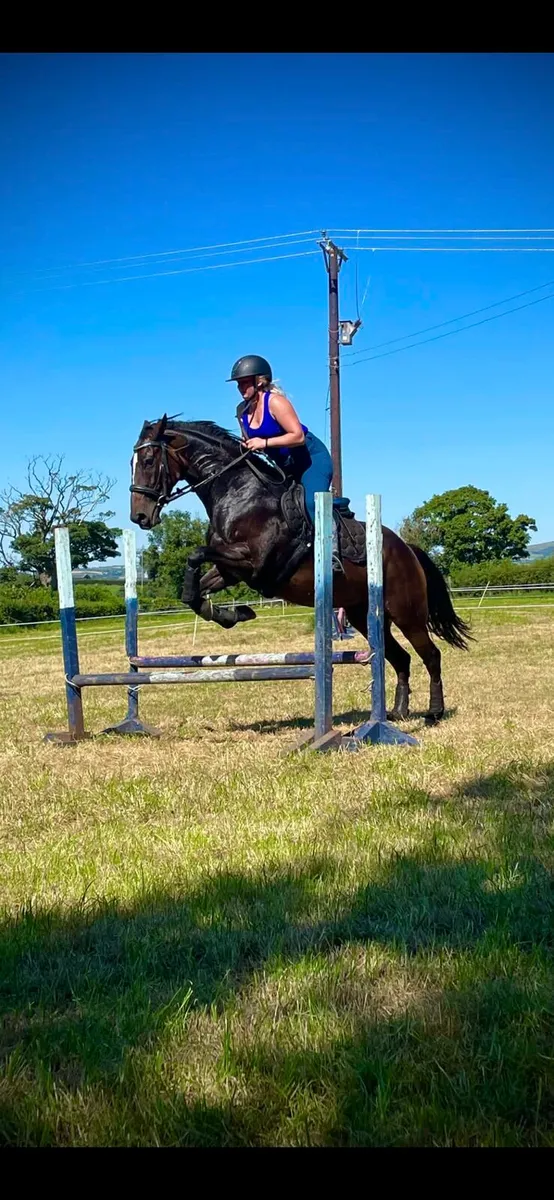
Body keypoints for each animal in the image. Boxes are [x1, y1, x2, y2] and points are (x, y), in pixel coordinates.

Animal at [130, 415, 472, 723]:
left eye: (147, 460)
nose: (139, 517)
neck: (238, 493)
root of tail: (407, 549)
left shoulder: (252, 562)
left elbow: (195, 554)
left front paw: (234, 612)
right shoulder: (231, 570)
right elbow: (195, 590)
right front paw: (232, 614)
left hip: (406, 612)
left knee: (430, 654)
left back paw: (434, 712)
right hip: (363, 615)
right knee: (400, 658)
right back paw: (397, 712)